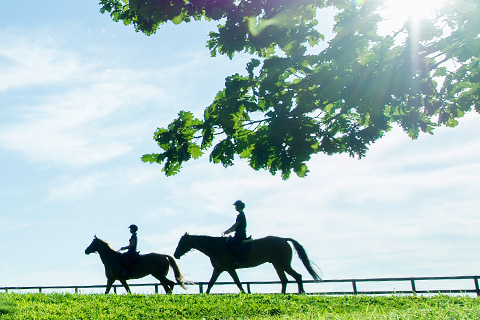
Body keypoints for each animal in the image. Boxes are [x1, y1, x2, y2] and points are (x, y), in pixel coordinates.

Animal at [173, 232, 322, 292]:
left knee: (297, 276)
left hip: (283, 264)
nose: (175, 254)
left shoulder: (229, 269)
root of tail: (284, 239)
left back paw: (301, 293)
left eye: (182, 243)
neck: (215, 247)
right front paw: (205, 295)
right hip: (278, 265)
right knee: (285, 280)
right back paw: (283, 295)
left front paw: (245, 294)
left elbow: (238, 283)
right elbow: (210, 284)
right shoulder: (218, 269)